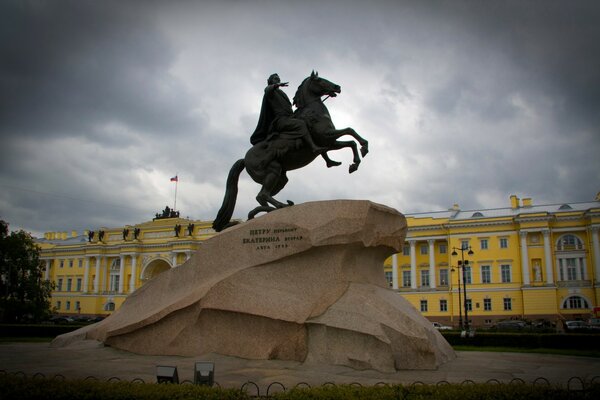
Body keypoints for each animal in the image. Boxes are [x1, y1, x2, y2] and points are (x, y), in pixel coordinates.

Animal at [213, 72, 368, 231]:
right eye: (319, 80)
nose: (338, 87)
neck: (313, 111)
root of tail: (244, 159)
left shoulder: (330, 142)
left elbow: (350, 141)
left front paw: (353, 162)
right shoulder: (327, 137)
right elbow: (350, 131)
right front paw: (362, 151)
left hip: (281, 179)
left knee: (262, 197)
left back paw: (268, 210)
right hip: (273, 170)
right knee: (262, 195)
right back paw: (280, 206)